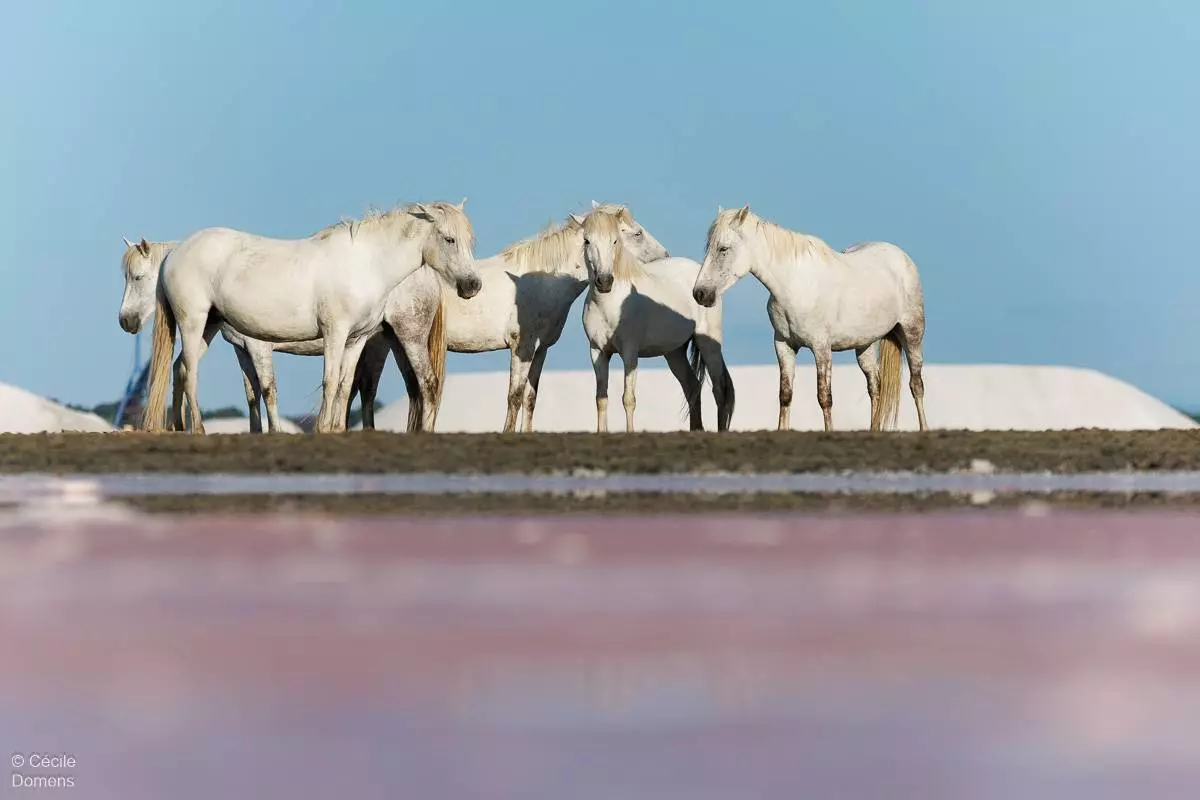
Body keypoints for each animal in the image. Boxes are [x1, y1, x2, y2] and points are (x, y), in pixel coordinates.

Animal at [140, 200, 479, 434]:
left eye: (469, 241)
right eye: (449, 239)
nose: (472, 285)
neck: (367, 263)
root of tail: (175, 253)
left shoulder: (356, 339)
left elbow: (344, 384)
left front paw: (337, 429)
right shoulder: (334, 333)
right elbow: (328, 381)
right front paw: (322, 429)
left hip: (208, 326)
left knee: (181, 368)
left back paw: (179, 428)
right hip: (193, 323)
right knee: (191, 372)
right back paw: (197, 429)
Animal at [350, 201, 670, 433]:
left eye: (616, 239)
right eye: (636, 233)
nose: (665, 255)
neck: (541, 280)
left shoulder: (540, 350)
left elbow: (530, 398)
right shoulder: (521, 347)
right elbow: (513, 396)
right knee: (367, 390)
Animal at [580, 206, 735, 433]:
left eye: (615, 241)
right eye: (587, 241)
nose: (604, 281)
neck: (610, 303)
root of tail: (705, 286)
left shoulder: (630, 352)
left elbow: (628, 398)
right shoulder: (597, 352)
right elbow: (601, 399)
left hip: (709, 345)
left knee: (720, 389)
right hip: (674, 353)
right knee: (692, 386)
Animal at [691, 205, 928, 433]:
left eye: (723, 248)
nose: (700, 293)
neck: (794, 285)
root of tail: (901, 257)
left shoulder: (821, 348)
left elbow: (824, 396)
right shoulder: (784, 345)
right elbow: (785, 394)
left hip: (912, 334)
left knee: (916, 384)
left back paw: (924, 428)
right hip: (865, 346)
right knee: (875, 387)